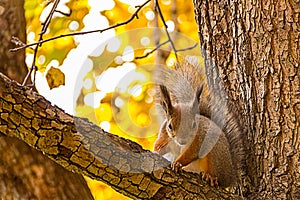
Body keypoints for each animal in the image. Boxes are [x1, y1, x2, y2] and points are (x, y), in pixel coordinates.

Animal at [154, 57, 245, 188]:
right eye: (169, 126)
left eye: (193, 125)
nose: (182, 141)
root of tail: (231, 175)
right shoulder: (164, 135)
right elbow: (161, 146)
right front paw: (156, 150)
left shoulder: (199, 139)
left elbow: (191, 153)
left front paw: (177, 163)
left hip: (217, 153)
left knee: (219, 178)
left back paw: (211, 177)